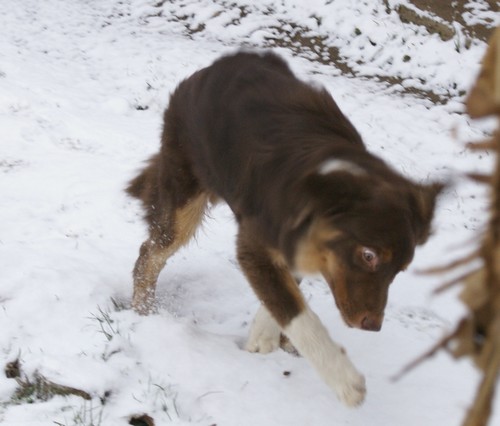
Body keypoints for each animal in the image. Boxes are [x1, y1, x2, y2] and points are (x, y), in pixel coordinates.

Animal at [126, 51, 442, 408]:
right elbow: (297, 313)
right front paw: (344, 380)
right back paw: (144, 311)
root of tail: (209, 70)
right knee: (150, 254)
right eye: (368, 255)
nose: (372, 326)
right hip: (183, 200)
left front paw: (262, 338)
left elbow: (283, 296)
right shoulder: (255, 247)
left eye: (401, 269)